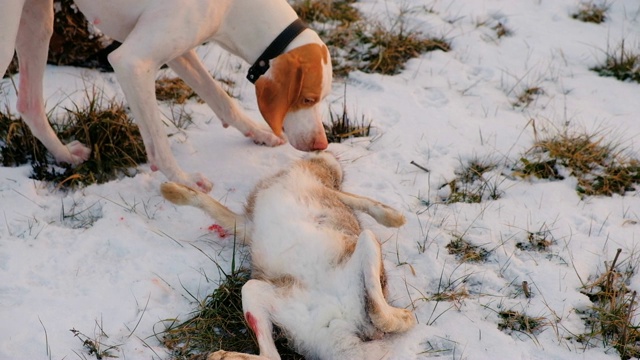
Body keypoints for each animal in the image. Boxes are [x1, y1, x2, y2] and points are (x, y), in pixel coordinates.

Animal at [0, 0, 330, 191]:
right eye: (308, 99)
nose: (322, 145)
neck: (235, 9)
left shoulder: (180, 51)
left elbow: (220, 97)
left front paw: (259, 133)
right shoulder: (132, 62)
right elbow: (159, 144)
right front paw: (184, 181)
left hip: (37, 19)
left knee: (29, 103)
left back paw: (66, 155)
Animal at [161, 153, 416, 360]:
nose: (327, 153)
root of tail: (339, 323)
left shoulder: (329, 191)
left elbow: (363, 201)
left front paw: (396, 219)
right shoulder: (246, 225)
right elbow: (205, 202)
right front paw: (170, 191)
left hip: (365, 247)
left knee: (379, 310)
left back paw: (406, 317)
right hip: (258, 293)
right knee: (271, 356)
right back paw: (220, 355)